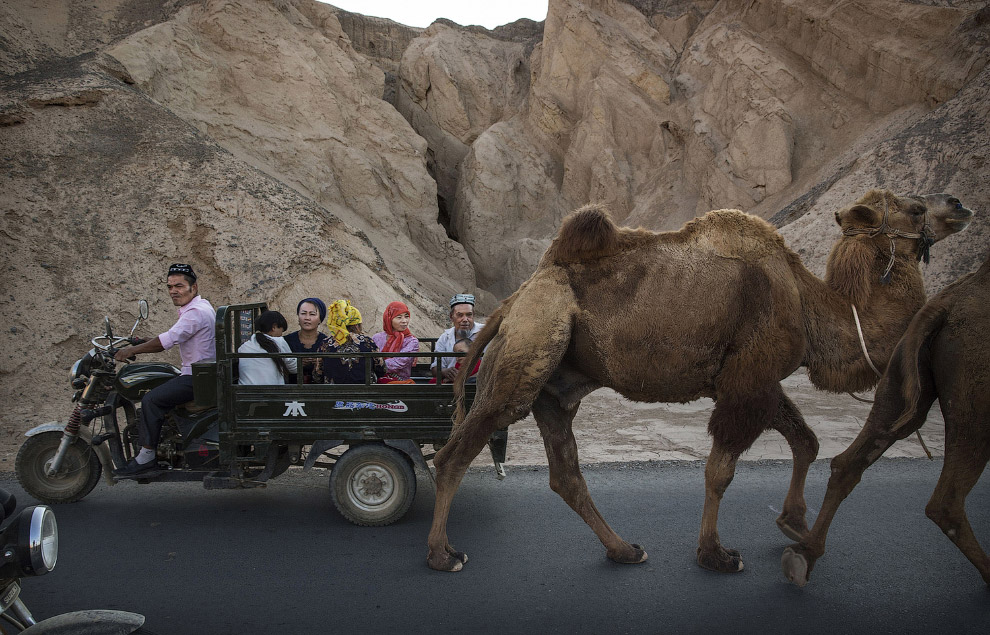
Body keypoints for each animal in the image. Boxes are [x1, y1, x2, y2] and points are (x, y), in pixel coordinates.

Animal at [428, 189, 976, 572]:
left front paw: (794, 523)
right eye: (914, 208)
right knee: (455, 452)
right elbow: (721, 471)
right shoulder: (750, 378)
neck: (810, 302)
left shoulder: (754, 378)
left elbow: (806, 440)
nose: (958, 204)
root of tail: (515, 299)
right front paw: (716, 555)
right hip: (531, 346)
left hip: (558, 385)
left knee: (565, 473)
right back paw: (444, 555)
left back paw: (625, 550)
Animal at [788, 247, 988, 588]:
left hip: (898, 382)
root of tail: (944, 305)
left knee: (849, 461)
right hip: (974, 401)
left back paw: (805, 552)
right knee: (946, 502)